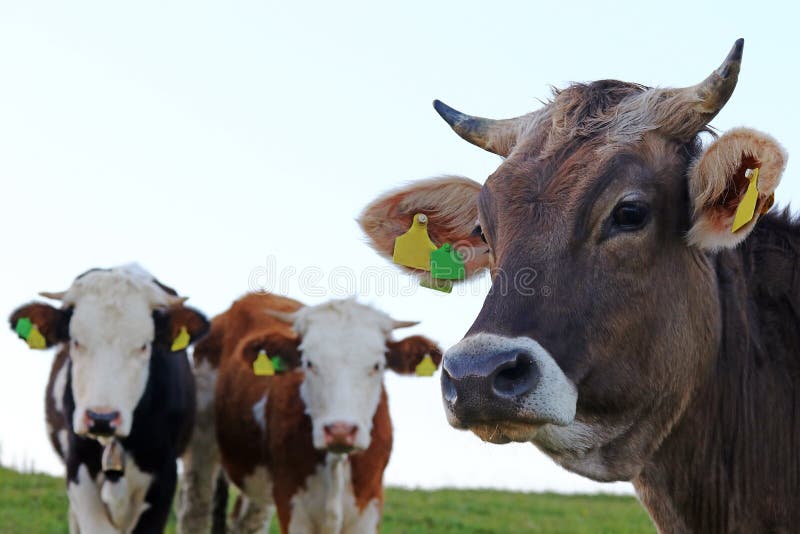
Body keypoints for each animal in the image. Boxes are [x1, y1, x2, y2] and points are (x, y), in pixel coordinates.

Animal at [178, 292, 441, 533]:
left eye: (377, 365)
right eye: (308, 363)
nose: (340, 430)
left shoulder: (369, 504)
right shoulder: (292, 506)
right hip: (201, 445)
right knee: (195, 512)